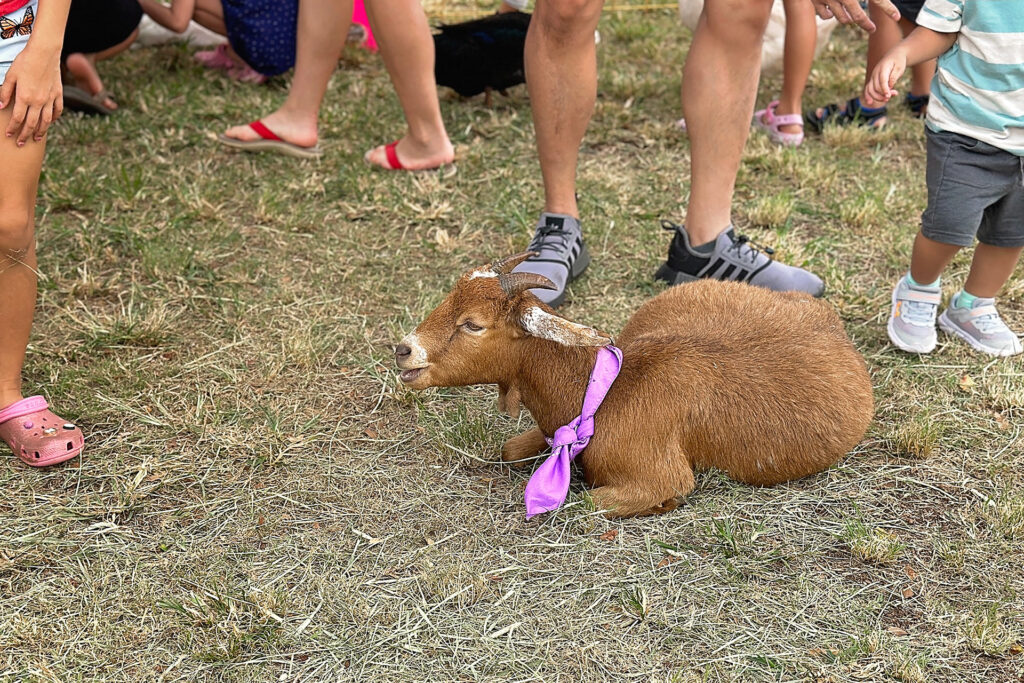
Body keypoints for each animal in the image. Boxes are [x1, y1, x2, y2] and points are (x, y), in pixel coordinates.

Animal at [395, 252, 876, 518]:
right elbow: (509, 449)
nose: (403, 350)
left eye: (473, 324)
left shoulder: (659, 476)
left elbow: (589, 502)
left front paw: (664, 507)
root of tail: (831, 322)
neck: (605, 393)